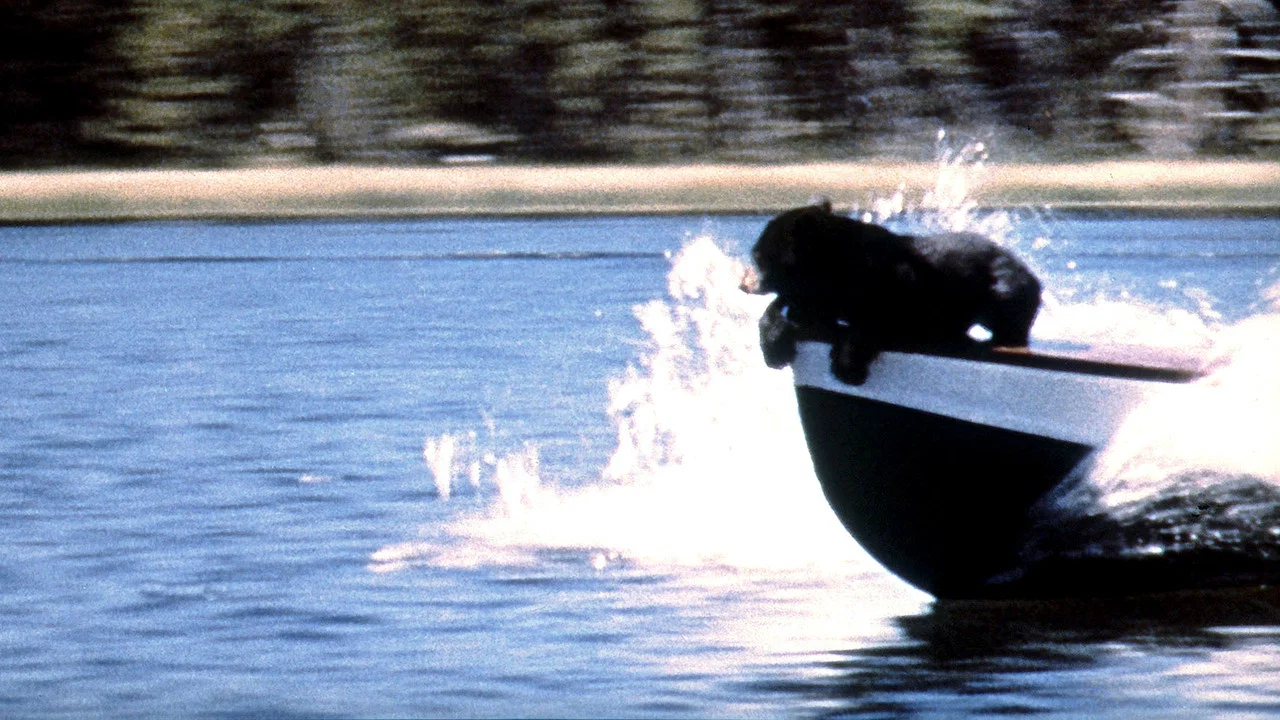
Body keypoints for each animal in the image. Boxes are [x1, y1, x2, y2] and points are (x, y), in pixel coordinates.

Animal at [741, 199, 1041, 385]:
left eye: (757, 256)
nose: (743, 284)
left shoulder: (893, 279)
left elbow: (886, 317)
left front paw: (847, 366)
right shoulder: (817, 291)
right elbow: (794, 308)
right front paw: (774, 345)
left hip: (1003, 289)